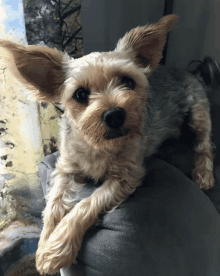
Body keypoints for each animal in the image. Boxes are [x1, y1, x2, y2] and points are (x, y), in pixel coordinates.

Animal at [0, 14, 214, 274]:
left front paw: (58, 248)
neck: (98, 144)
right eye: (80, 94)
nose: (114, 114)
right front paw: (44, 245)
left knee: (204, 144)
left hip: (199, 112)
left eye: (128, 82)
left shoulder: (126, 176)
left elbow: (86, 204)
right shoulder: (66, 169)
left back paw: (204, 174)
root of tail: (191, 72)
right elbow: (52, 206)